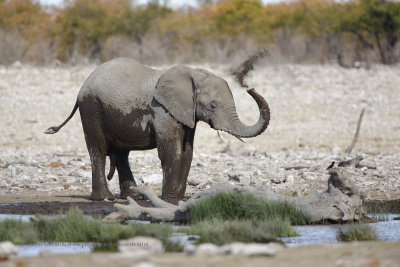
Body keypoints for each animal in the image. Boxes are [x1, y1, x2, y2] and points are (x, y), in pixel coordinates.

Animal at [46, 57, 272, 202]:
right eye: (213, 106)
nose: (250, 88)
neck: (192, 74)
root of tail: (82, 86)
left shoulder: (185, 113)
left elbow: (187, 152)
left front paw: (178, 199)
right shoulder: (162, 111)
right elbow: (172, 152)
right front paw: (170, 199)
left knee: (121, 154)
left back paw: (134, 197)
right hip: (91, 108)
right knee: (99, 151)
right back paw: (105, 199)